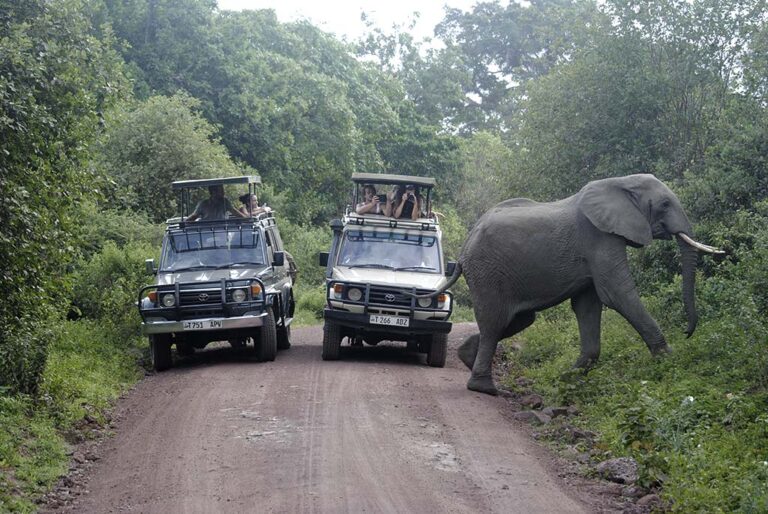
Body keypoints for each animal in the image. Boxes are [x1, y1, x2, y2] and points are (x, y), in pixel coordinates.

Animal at [428, 174, 724, 394]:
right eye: (664, 205)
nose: (687, 332)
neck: (621, 182)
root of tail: (466, 244)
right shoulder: (599, 237)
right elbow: (617, 294)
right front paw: (669, 360)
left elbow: (587, 305)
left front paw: (568, 378)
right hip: (487, 272)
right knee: (495, 322)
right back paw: (485, 389)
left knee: (518, 320)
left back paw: (467, 357)